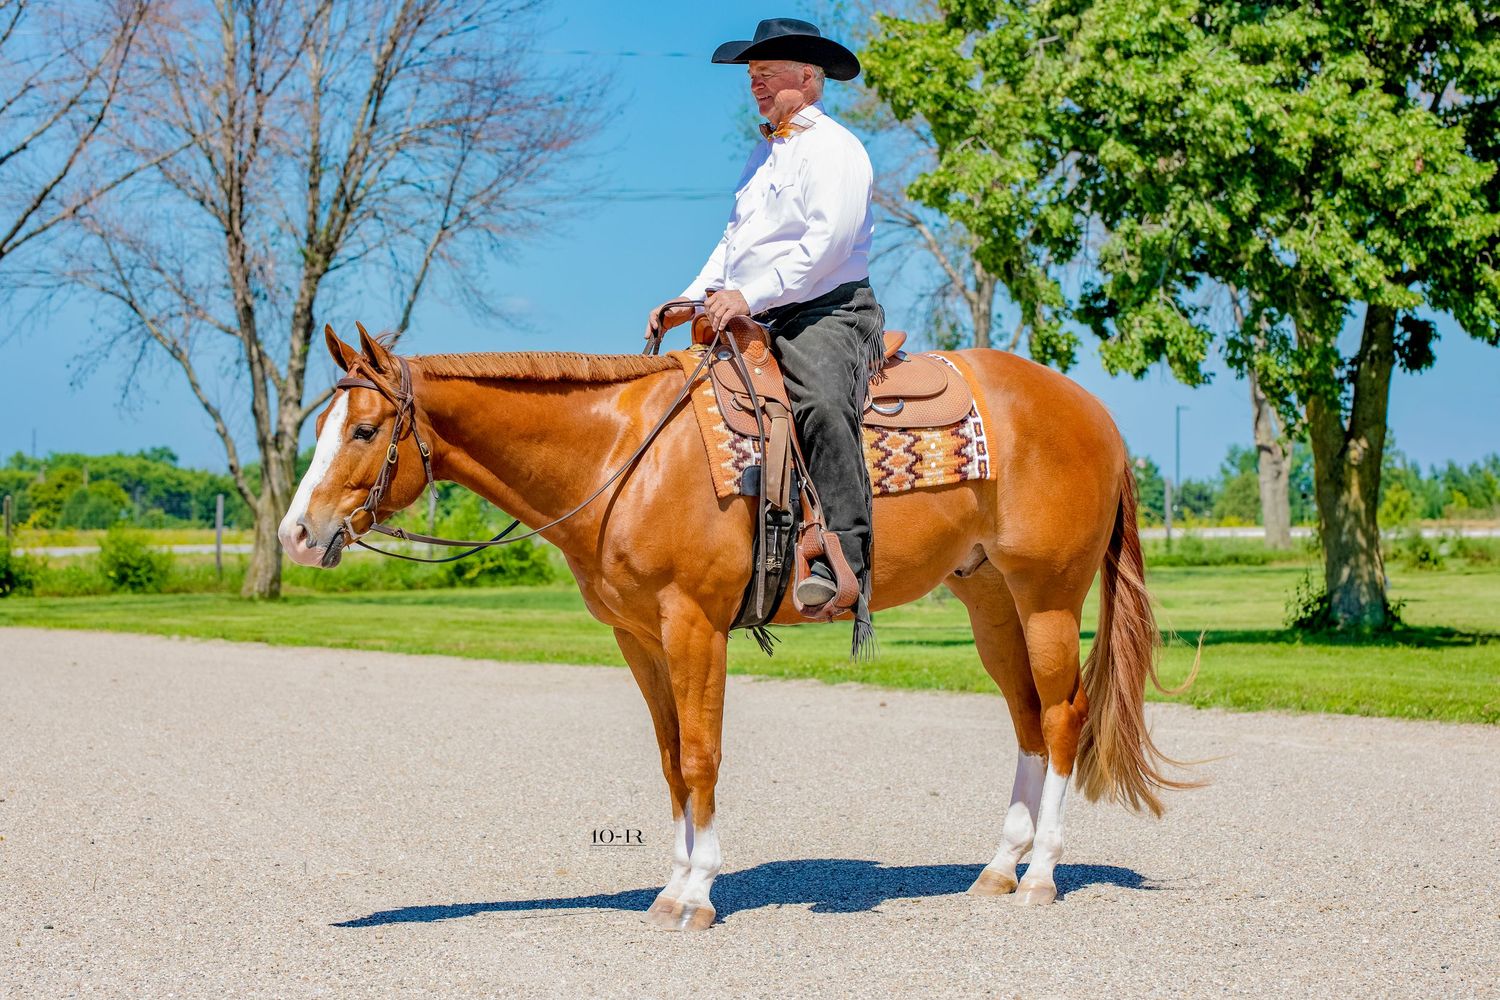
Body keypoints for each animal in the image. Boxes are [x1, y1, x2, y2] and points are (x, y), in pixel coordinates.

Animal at [279, 324, 1191, 931]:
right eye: (323, 428)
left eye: (366, 429)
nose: (296, 534)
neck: (625, 455)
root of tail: (1094, 413)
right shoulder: (639, 638)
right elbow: (670, 762)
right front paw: (672, 886)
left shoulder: (693, 626)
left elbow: (700, 755)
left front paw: (699, 894)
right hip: (991, 601)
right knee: (1029, 724)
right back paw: (1000, 869)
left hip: (1047, 598)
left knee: (1065, 719)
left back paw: (1040, 876)